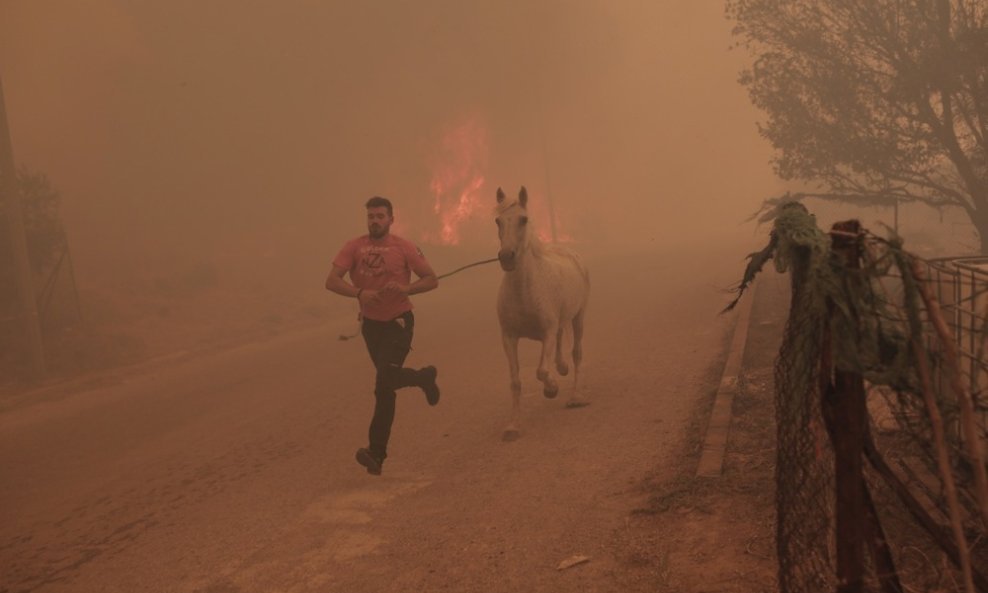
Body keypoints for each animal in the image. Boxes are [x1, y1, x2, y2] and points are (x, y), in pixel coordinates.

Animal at [492, 185, 588, 440]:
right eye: (498, 221)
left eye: (523, 219)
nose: (507, 256)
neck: (524, 291)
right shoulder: (509, 337)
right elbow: (516, 382)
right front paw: (513, 426)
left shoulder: (546, 332)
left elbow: (541, 371)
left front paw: (551, 389)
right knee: (561, 340)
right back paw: (562, 367)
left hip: (579, 317)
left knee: (577, 353)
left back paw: (575, 397)